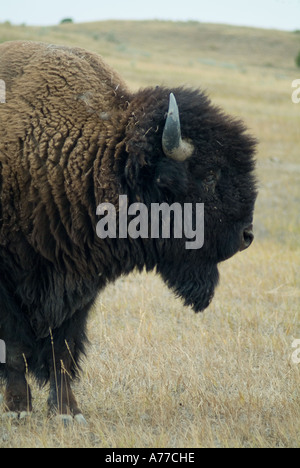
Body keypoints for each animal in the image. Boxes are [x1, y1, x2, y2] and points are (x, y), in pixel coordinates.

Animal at [0, 41, 258, 424]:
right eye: (210, 175)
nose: (247, 235)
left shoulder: (78, 285)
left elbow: (63, 350)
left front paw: (68, 412)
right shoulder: (10, 286)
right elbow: (16, 348)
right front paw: (19, 409)